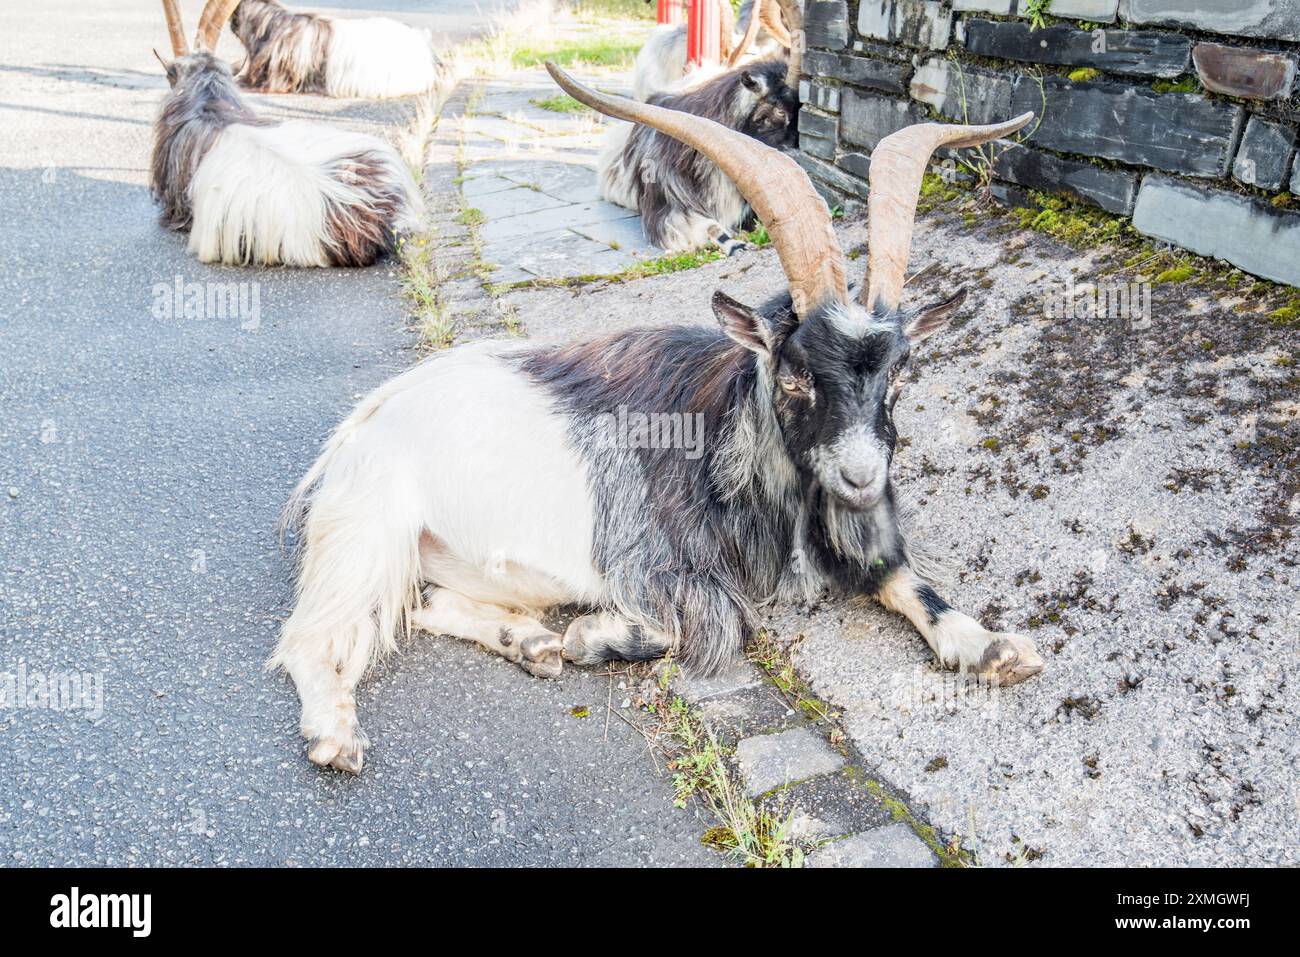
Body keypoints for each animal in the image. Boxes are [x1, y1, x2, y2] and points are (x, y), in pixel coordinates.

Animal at [271, 59, 1045, 774]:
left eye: (899, 371)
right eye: (793, 373)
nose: (861, 478)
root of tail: (362, 424)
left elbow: (901, 578)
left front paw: (994, 648)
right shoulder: (657, 562)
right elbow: (716, 624)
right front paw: (595, 636)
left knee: (427, 603)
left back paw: (532, 642)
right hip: (366, 533)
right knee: (311, 635)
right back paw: (337, 731)